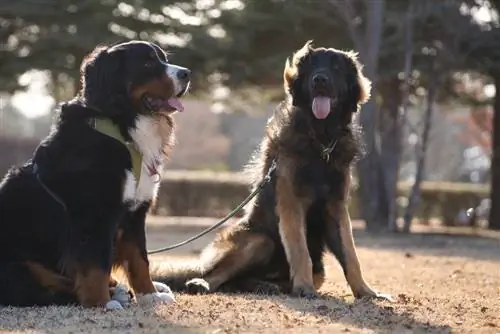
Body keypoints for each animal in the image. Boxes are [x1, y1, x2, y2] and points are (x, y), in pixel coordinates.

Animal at [0, 40, 190, 310]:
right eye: (147, 63)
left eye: (163, 58)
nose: (186, 73)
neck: (122, 128)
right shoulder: (93, 212)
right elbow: (95, 263)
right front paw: (101, 303)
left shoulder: (134, 212)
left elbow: (140, 259)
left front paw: (149, 294)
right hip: (19, 265)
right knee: (40, 290)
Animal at [151, 41, 390, 300]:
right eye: (312, 66)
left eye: (336, 67)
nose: (320, 79)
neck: (319, 140)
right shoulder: (291, 202)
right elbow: (300, 250)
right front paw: (304, 288)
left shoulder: (335, 206)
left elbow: (350, 255)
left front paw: (366, 292)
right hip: (259, 241)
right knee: (220, 275)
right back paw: (203, 283)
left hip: (317, 271)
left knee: (245, 280)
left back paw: (267, 285)